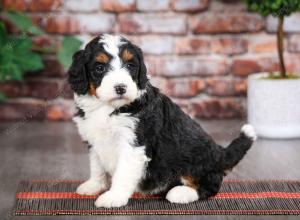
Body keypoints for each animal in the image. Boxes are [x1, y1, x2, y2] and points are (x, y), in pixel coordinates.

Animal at [68, 34, 255, 208]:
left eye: (130, 65)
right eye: (99, 67)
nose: (121, 88)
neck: (108, 108)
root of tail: (219, 153)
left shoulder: (133, 144)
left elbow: (123, 173)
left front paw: (114, 197)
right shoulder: (93, 140)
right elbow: (97, 166)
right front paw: (94, 186)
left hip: (196, 159)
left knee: (209, 186)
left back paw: (181, 193)